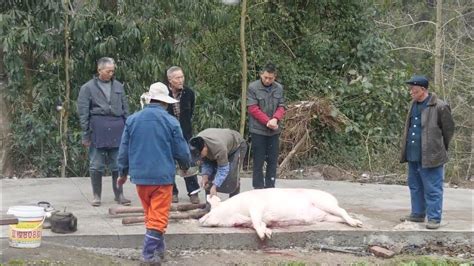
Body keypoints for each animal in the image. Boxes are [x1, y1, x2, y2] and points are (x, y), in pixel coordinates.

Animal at [198, 188, 362, 240]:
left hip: (325, 202)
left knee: (342, 210)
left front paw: (263, 236)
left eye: (210, 211)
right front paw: (268, 233)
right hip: (325, 216)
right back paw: (356, 223)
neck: (235, 214)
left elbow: (256, 219)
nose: (199, 220)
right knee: (338, 217)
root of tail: (333, 197)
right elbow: (260, 223)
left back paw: (357, 225)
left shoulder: (255, 205)